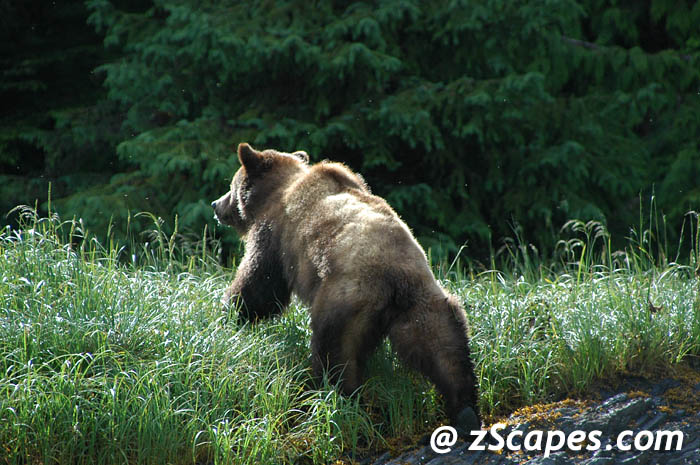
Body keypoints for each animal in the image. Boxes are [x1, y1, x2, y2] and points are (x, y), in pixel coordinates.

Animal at [211, 143, 481, 435]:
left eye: (230, 185)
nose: (216, 204)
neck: (276, 190)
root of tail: (394, 278)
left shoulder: (275, 234)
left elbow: (260, 284)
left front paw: (230, 311)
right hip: (424, 305)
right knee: (445, 348)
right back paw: (465, 411)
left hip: (344, 302)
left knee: (334, 352)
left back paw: (336, 398)